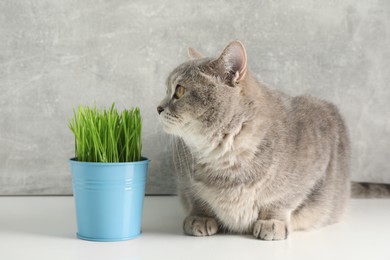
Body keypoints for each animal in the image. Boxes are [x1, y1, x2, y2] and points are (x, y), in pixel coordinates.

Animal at [156, 39, 390, 241]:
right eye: (167, 90)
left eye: (180, 90)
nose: (158, 108)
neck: (225, 157)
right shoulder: (185, 179)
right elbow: (198, 198)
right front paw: (201, 217)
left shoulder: (312, 165)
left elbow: (282, 199)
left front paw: (271, 222)